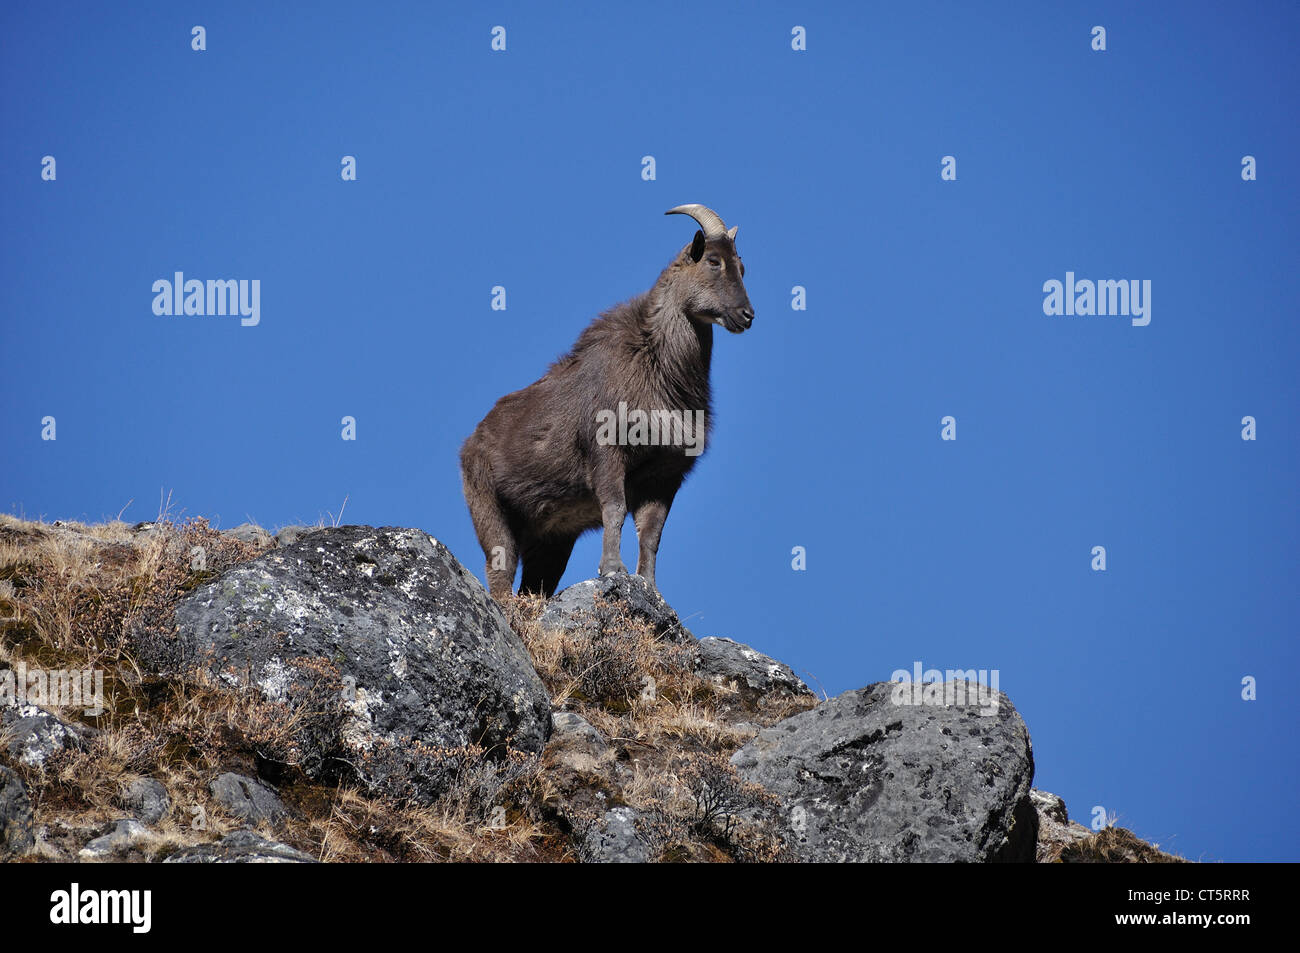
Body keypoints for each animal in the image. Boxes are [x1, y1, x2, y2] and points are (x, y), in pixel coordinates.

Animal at [462, 204, 759, 598]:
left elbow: (651, 534)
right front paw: (613, 569)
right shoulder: (607, 452)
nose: (747, 316)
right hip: (490, 509)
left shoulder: (665, 476)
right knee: (500, 567)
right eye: (713, 261)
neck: (657, 368)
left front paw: (650, 586)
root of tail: (469, 445)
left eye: (741, 266)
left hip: (551, 539)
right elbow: (614, 510)